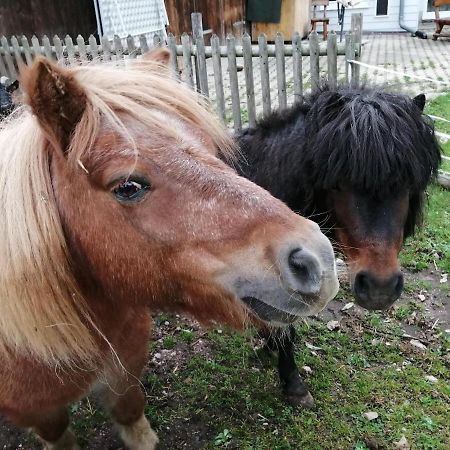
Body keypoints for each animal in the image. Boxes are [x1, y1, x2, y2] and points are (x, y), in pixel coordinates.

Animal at [0, 51, 338, 446]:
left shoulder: (125, 373)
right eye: (128, 187)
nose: (316, 261)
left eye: (213, 152)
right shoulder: (40, 413)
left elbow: (132, 417)